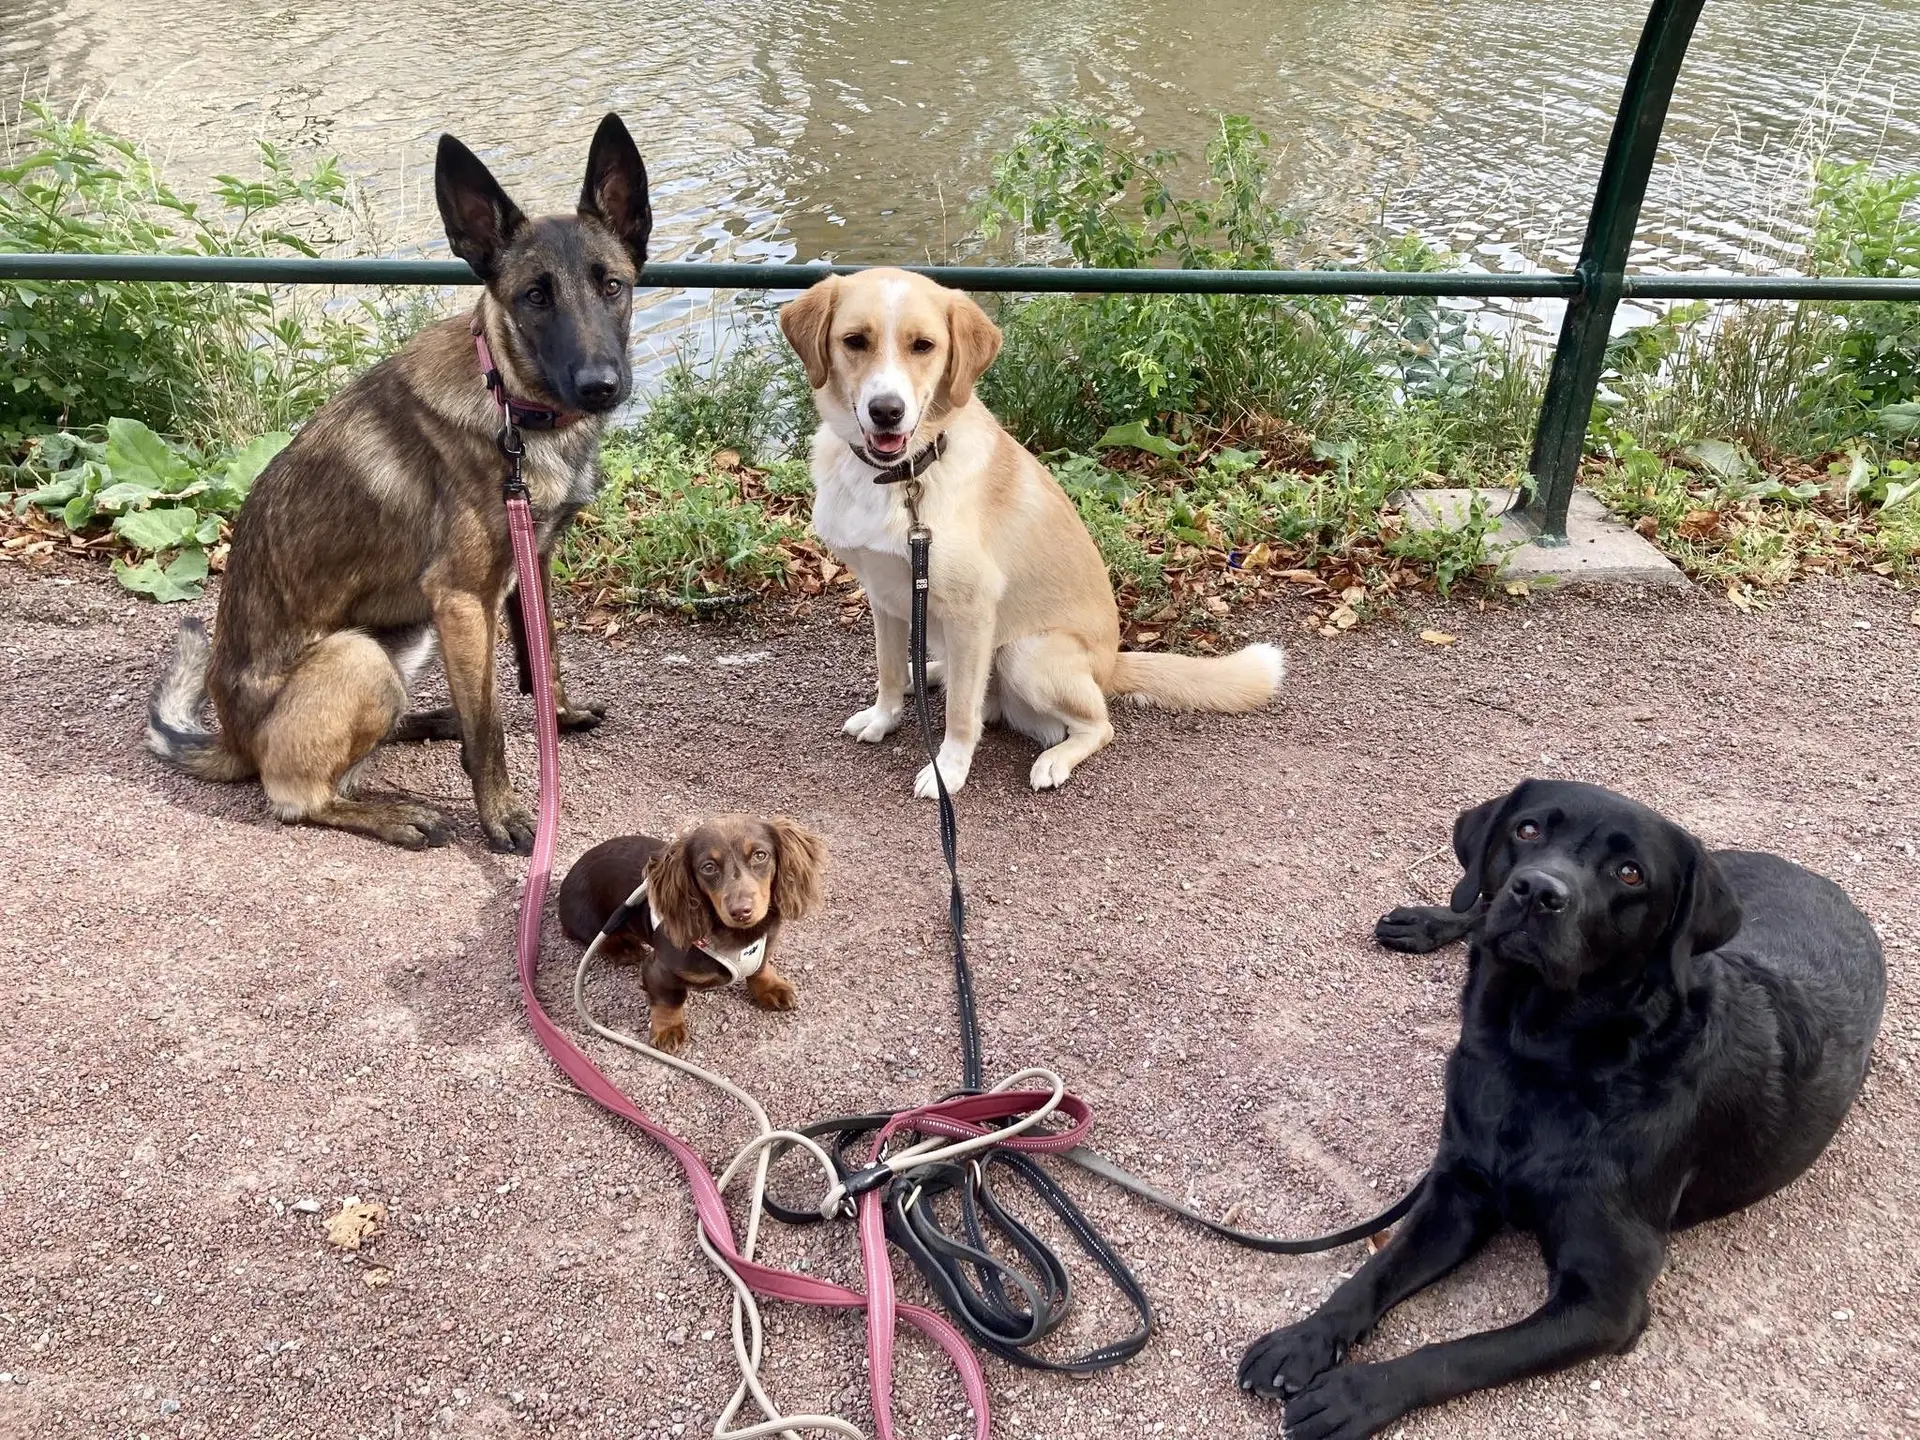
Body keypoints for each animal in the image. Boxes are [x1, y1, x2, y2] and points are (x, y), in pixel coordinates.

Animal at [142, 121, 652, 856]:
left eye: (612, 285)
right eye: (535, 296)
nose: (600, 386)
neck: (509, 402)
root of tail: (231, 740)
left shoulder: (529, 565)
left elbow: (543, 655)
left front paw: (554, 718)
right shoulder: (464, 599)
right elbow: (491, 727)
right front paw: (502, 814)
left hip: (405, 638)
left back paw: (427, 721)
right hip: (362, 656)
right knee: (294, 794)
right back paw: (391, 813)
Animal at [556, 817, 825, 1052]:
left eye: (760, 855)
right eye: (709, 867)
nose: (741, 912)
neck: (738, 937)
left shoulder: (764, 946)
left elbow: (760, 968)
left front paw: (772, 987)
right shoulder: (660, 968)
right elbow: (671, 998)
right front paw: (667, 1029)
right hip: (589, 922)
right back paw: (623, 948)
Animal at [779, 270, 1290, 802]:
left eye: (923, 345)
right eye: (855, 341)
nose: (886, 411)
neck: (904, 478)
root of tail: (1110, 665)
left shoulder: (972, 608)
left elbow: (960, 715)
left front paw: (950, 770)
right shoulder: (885, 596)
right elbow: (890, 669)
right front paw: (884, 719)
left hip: (1024, 652)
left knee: (1095, 725)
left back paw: (1053, 759)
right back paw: (934, 674)